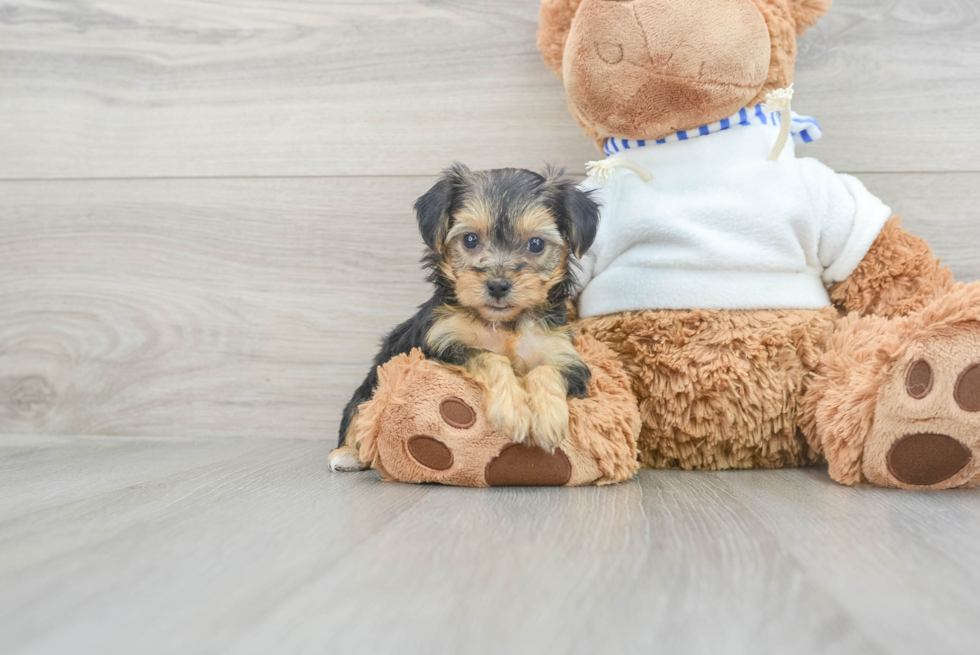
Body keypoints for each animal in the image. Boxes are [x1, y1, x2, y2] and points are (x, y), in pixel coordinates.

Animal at [330, 163, 600, 472]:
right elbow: (490, 357)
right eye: (470, 239)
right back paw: (347, 455)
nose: (498, 285)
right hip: (367, 391)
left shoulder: (564, 356)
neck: (504, 324)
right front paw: (513, 410)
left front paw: (547, 418)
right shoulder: (441, 345)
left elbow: (547, 370)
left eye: (536, 244)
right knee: (357, 414)